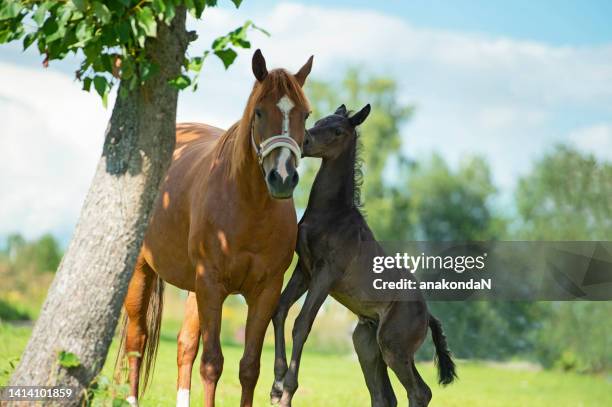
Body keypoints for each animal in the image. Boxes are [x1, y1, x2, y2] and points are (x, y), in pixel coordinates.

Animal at [270, 106, 456, 407]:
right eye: (318, 121)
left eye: (337, 131)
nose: (304, 141)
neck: (331, 214)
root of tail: (427, 314)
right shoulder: (305, 269)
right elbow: (280, 310)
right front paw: (275, 386)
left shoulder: (326, 273)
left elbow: (302, 324)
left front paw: (287, 392)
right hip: (366, 343)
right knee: (384, 396)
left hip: (393, 345)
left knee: (419, 392)